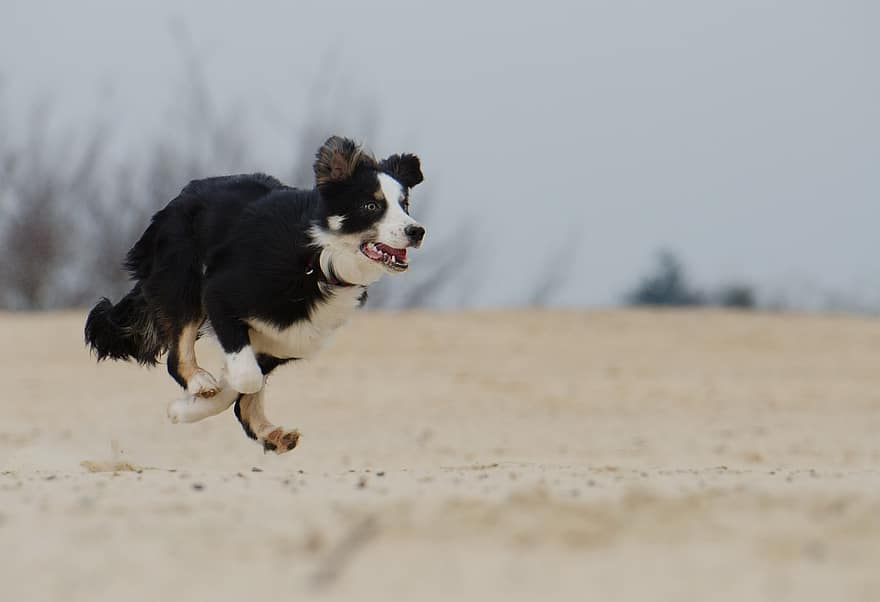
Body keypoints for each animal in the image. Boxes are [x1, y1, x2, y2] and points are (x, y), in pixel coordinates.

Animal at [86, 136, 426, 452]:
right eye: (371, 206)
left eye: (405, 205)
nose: (417, 231)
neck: (317, 260)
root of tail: (179, 198)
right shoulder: (220, 294)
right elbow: (247, 377)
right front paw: (184, 408)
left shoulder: (292, 338)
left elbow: (245, 383)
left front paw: (186, 409)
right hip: (184, 281)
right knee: (177, 353)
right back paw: (201, 382)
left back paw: (273, 434)